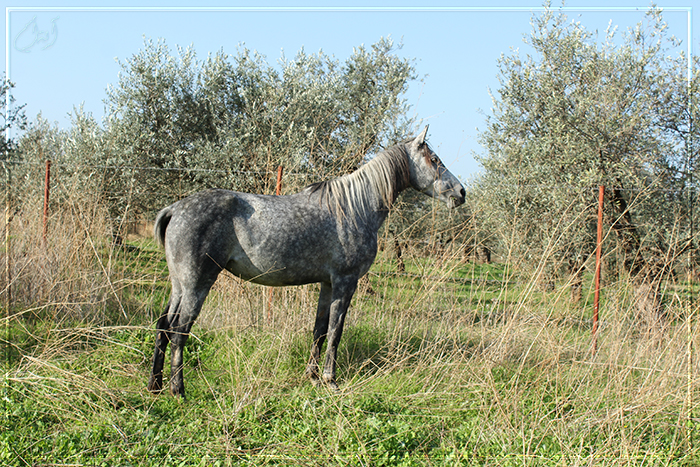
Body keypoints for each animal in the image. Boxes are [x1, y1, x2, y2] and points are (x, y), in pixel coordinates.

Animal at [148, 126, 464, 396]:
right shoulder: (345, 282)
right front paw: (330, 379)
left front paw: (312, 375)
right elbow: (335, 332)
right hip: (197, 285)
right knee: (179, 331)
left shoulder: (327, 284)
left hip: (179, 286)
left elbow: (319, 330)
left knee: (163, 325)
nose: (461, 192)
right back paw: (178, 390)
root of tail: (176, 209)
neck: (355, 207)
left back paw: (155, 386)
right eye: (434, 159)